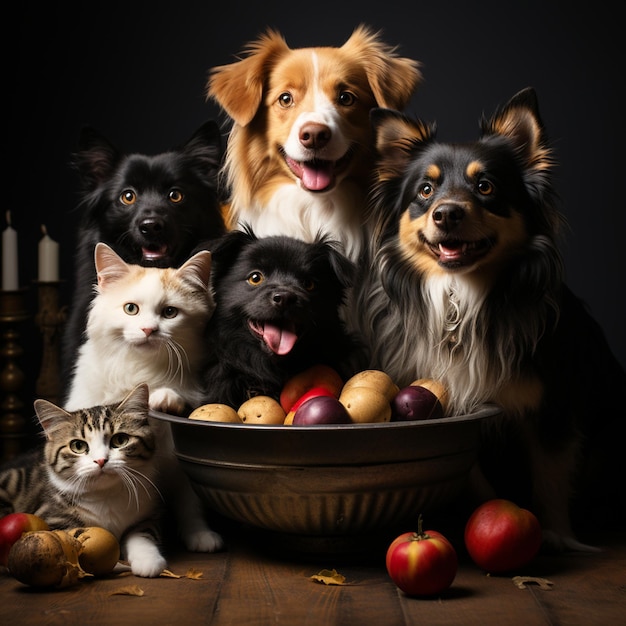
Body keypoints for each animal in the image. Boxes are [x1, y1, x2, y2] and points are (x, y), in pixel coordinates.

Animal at [0, 382, 168, 576]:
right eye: (78, 446)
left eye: (120, 440)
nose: (101, 460)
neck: (106, 495)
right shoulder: (51, 517)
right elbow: (75, 536)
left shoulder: (148, 515)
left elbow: (142, 534)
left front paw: (148, 561)